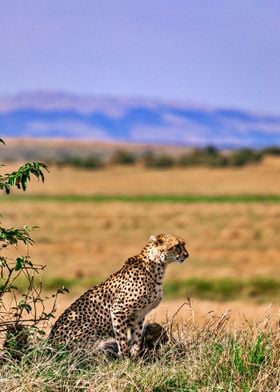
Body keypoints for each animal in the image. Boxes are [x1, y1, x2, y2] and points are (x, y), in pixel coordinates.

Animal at [48, 233, 188, 358]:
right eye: (176, 246)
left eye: (183, 244)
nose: (187, 255)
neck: (157, 266)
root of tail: (50, 342)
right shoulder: (118, 311)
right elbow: (123, 341)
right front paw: (125, 361)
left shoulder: (138, 315)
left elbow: (136, 340)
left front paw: (135, 360)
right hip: (88, 328)